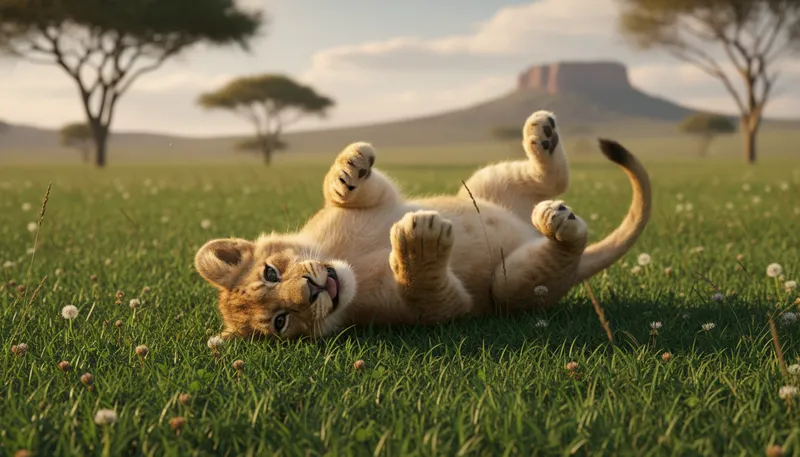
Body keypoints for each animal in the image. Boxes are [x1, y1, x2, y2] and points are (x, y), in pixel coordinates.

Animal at [194, 110, 652, 340]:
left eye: (271, 273)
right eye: (280, 322)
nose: (311, 290)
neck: (349, 261)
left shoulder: (376, 202)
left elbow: (346, 191)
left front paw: (349, 167)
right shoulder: (440, 310)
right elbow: (426, 289)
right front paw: (419, 245)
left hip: (486, 184)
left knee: (553, 179)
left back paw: (543, 132)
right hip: (511, 286)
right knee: (562, 246)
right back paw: (558, 223)